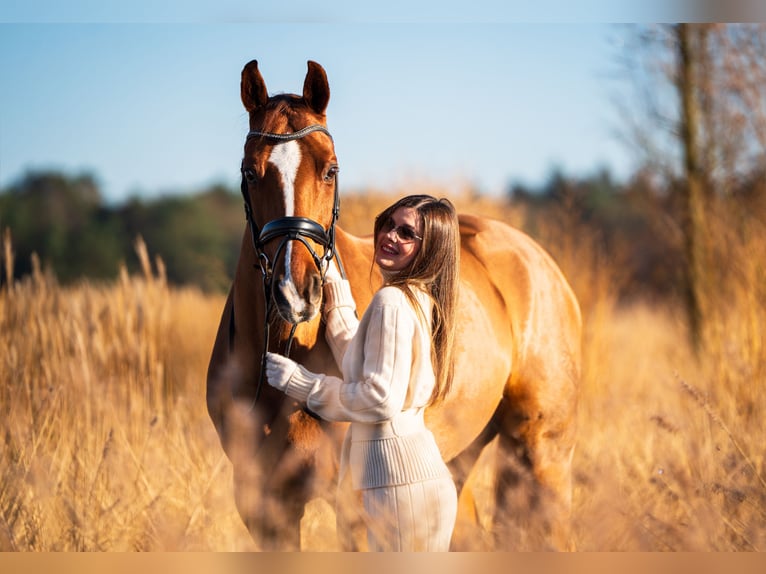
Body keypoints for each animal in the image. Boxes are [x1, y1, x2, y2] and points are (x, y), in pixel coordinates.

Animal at [206, 59, 581, 551]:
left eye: (330, 170)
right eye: (250, 172)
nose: (296, 292)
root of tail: (537, 260)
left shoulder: (356, 511)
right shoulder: (268, 511)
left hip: (543, 453)